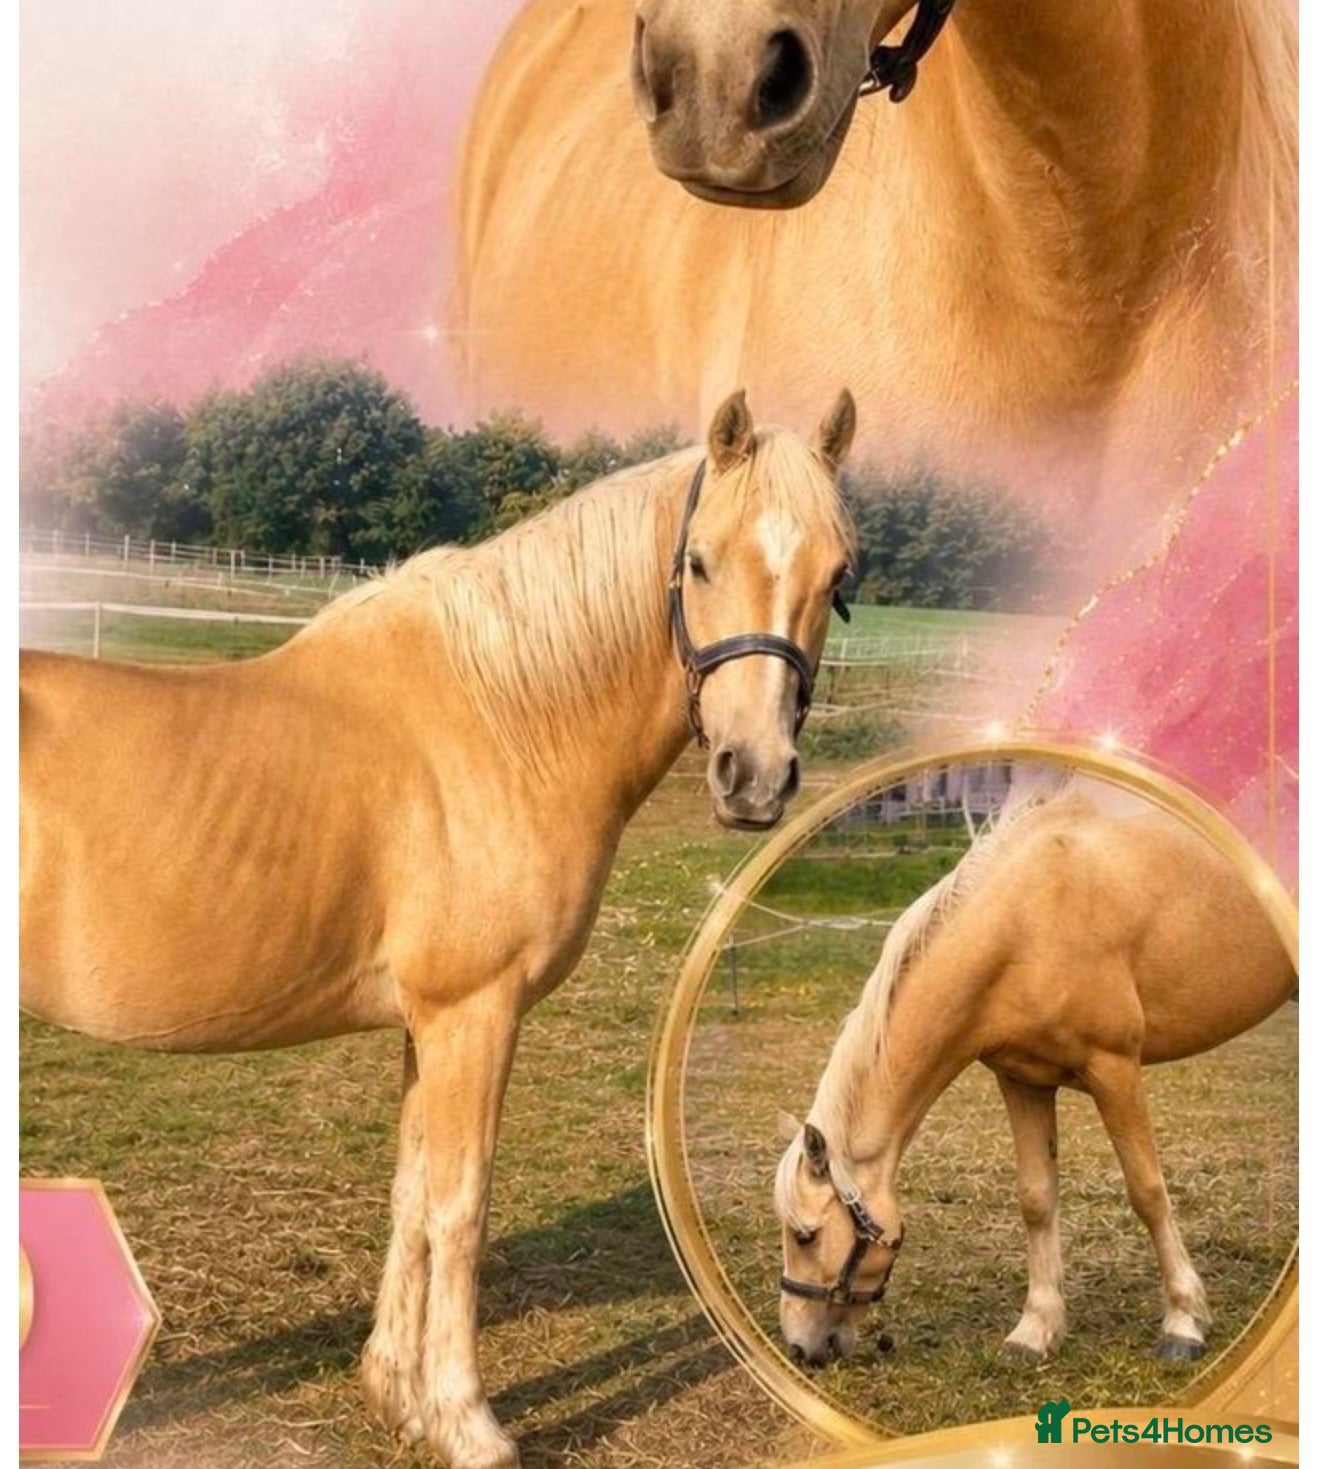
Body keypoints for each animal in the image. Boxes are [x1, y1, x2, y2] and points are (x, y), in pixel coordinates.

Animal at [19, 389, 858, 1469]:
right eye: (703, 561)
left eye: (837, 575)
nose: (753, 777)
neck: (502, 717)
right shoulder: (475, 1012)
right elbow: (461, 1206)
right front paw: (468, 1422)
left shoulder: (429, 1023)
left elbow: (411, 1195)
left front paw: (396, 1392)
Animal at [772, 774, 1294, 1370]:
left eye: (806, 1236)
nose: (800, 1345)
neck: (1030, 920)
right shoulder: (1023, 1080)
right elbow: (1036, 1199)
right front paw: (1036, 1329)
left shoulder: (1115, 1069)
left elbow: (1147, 1191)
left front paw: (1184, 1321)